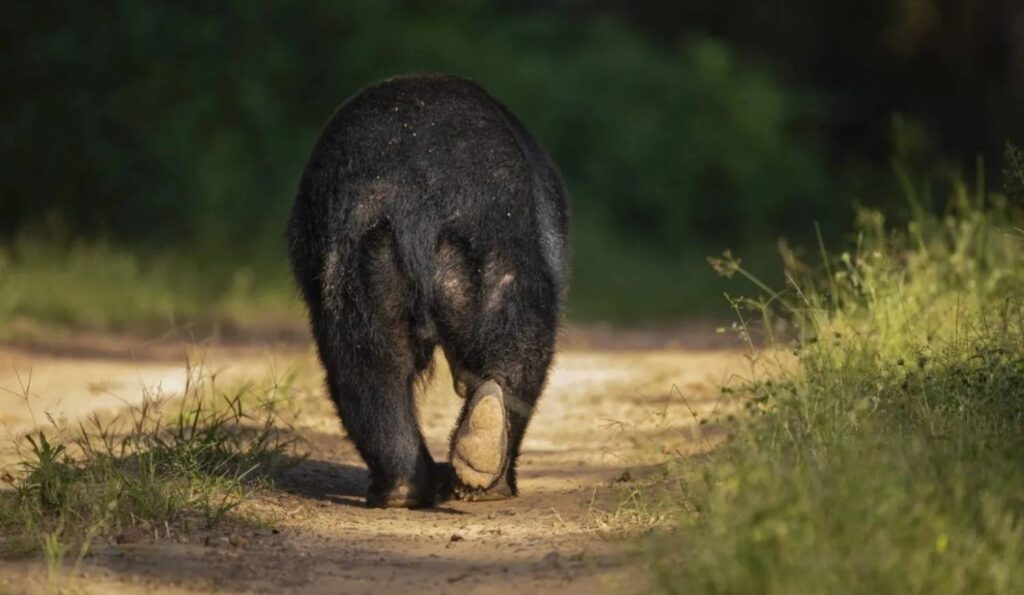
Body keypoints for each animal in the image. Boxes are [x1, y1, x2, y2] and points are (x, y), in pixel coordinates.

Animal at [287, 74, 569, 508]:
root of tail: (413, 194)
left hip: (363, 257)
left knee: (367, 361)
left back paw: (415, 482)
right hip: (492, 246)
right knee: (519, 339)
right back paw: (476, 474)